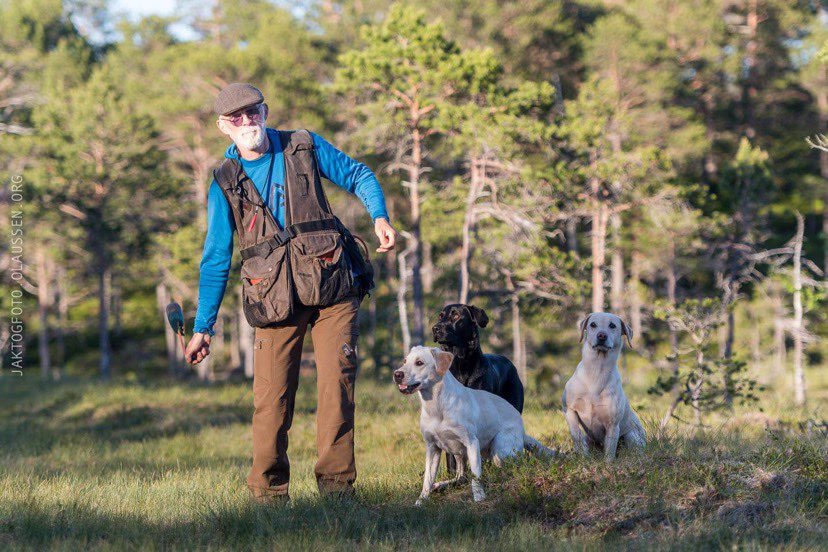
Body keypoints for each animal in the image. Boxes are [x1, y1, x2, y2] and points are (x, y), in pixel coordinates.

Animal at [434, 302, 524, 474]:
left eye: (456, 315)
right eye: (440, 316)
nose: (435, 328)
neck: (460, 366)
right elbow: (451, 455)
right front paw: (453, 474)